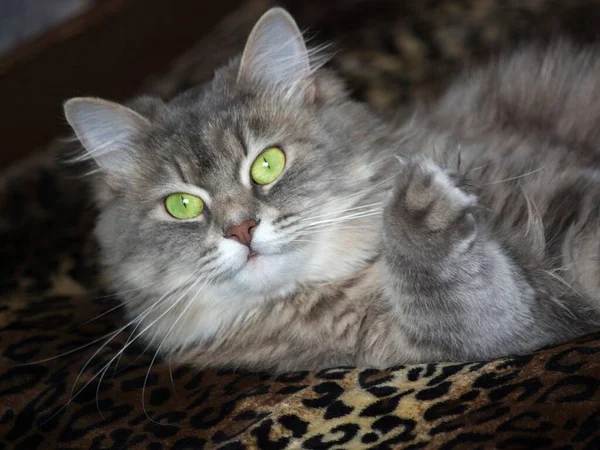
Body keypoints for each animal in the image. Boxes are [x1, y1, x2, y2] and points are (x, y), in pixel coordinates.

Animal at [62, 7, 600, 372]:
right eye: (182, 204)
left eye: (267, 163)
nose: (241, 230)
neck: (344, 287)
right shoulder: (488, 329)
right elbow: (462, 300)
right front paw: (420, 205)